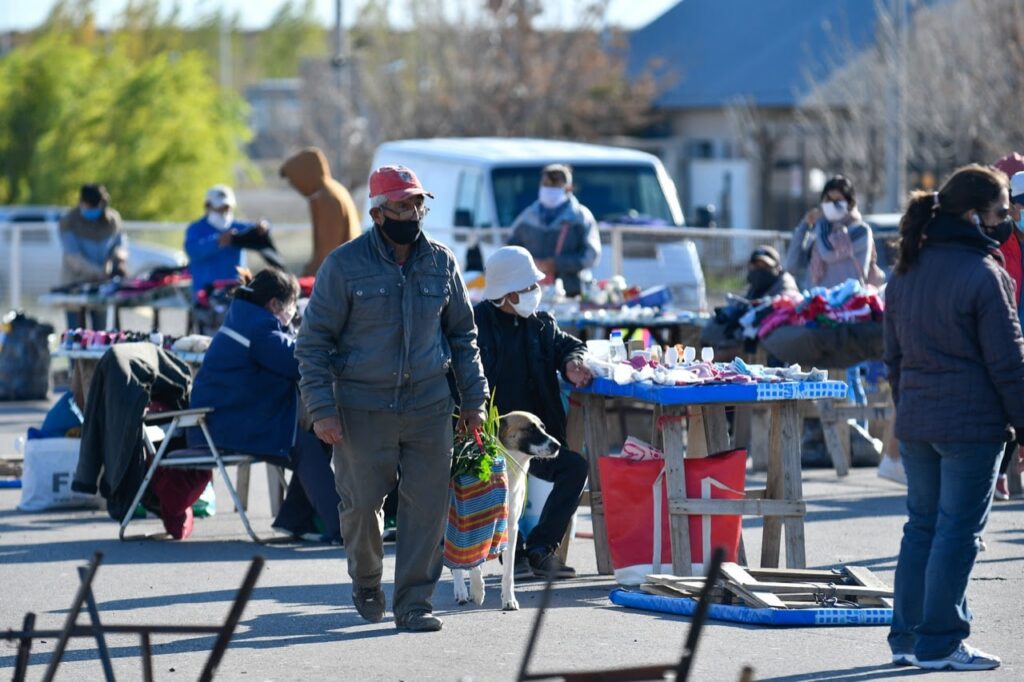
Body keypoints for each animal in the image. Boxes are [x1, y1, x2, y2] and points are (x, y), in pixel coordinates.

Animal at [452, 409, 561, 610]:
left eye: (543, 427)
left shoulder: (510, 528)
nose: (557, 445)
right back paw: (461, 591)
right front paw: (477, 590)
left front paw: (509, 600)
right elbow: (474, 564)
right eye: (530, 429)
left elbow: (508, 572)